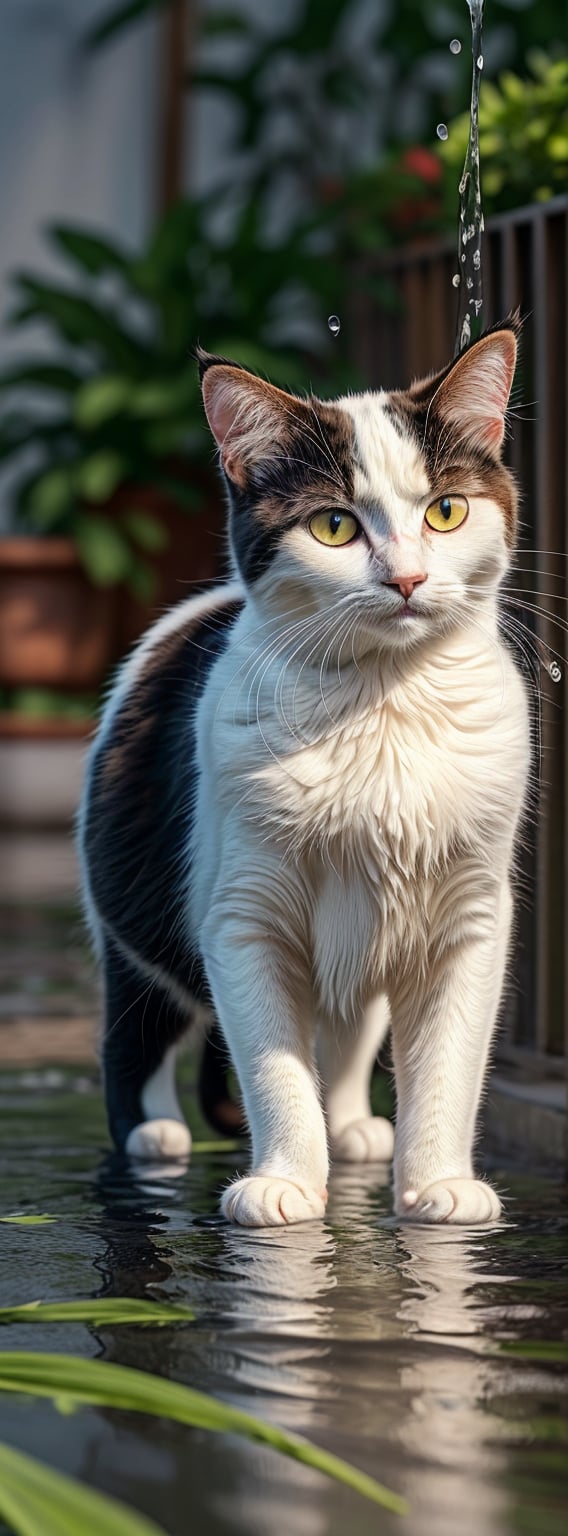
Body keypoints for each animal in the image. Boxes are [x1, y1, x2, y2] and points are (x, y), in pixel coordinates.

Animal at [78, 317, 528, 1228]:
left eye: (446, 510)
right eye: (333, 527)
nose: (407, 578)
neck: (385, 707)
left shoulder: (472, 915)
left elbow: (450, 1060)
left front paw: (437, 1182)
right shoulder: (241, 915)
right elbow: (272, 1062)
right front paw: (284, 1179)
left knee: (347, 1032)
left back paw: (352, 1125)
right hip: (134, 904)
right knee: (138, 1018)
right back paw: (150, 1131)